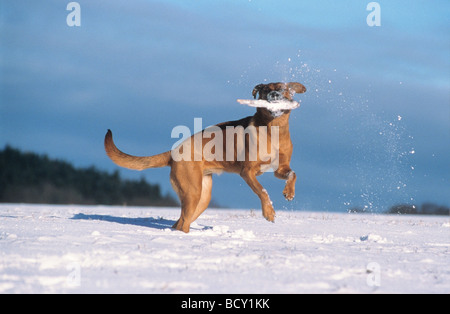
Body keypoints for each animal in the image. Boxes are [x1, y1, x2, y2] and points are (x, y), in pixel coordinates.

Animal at [103, 82, 306, 232]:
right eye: (265, 89)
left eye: (283, 88)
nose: (274, 96)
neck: (274, 129)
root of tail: (174, 150)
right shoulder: (248, 172)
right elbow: (262, 191)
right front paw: (269, 212)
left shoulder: (280, 168)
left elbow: (293, 174)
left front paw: (289, 192)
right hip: (192, 192)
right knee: (183, 223)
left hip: (202, 196)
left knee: (180, 222)